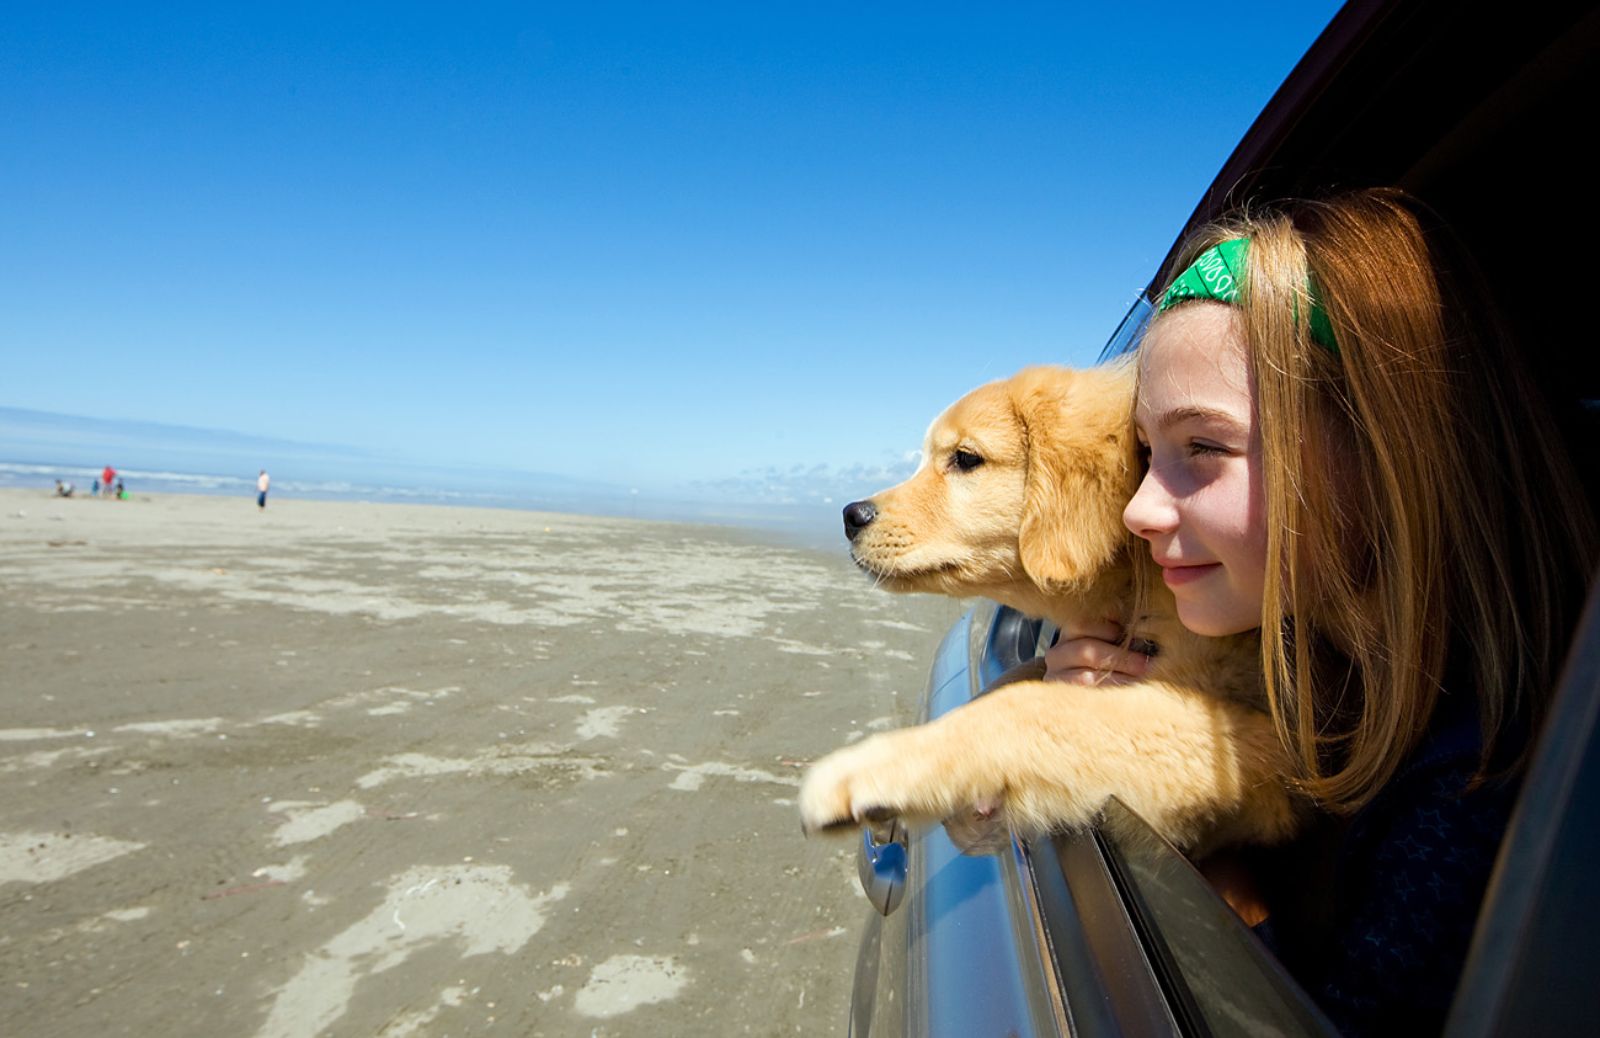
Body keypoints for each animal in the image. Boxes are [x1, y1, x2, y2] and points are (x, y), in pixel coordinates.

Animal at [793, 359, 1305, 857]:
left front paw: (875, 766)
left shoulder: (1261, 749)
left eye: (965, 458)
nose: (851, 516)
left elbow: (1039, 707)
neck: (1137, 577)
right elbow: (1018, 680)